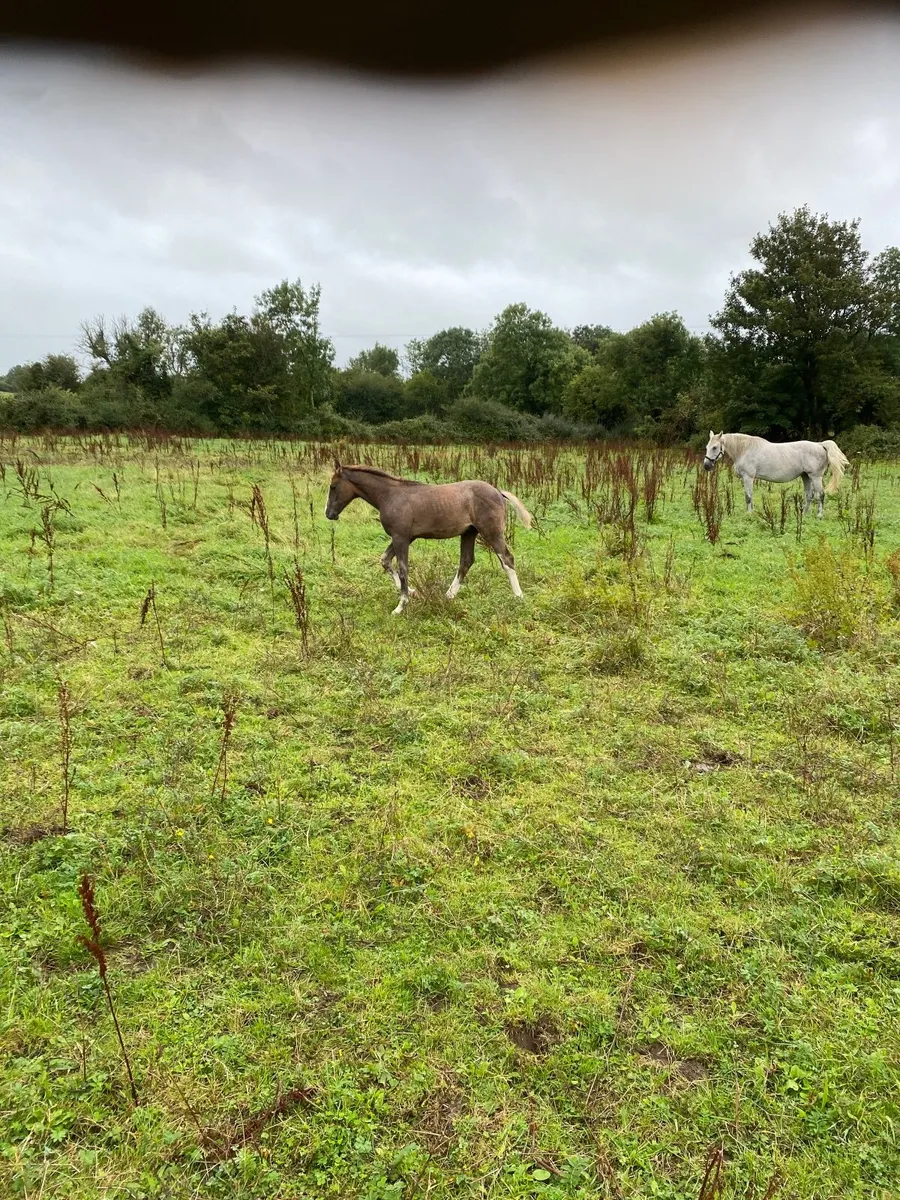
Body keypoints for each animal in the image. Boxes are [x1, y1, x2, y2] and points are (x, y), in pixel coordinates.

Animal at [324, 461, 533, 614]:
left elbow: (403, 569)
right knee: (466, 561)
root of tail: (498, 491)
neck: (390, 495)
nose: (329, 514)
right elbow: (385, 560)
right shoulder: (405, 537)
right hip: (469, 533)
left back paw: (518, 596)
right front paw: (412, 592)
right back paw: (448, 596)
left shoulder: (401, 537)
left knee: (507, 559)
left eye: (333, 486)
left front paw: (401, 606)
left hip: (491, 531)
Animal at [702, 431, 850, 517]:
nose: (706, 466)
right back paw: (804, 514)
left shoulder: (748, 477)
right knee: (809, 495)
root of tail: (820, 445)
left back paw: (819, 515)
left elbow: (748, 497)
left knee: (820, 495)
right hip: (806, 476)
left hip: (815, 477)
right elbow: (750, 496)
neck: (744, 449)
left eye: (715, 447)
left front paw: (749, 513)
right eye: (707, 447)